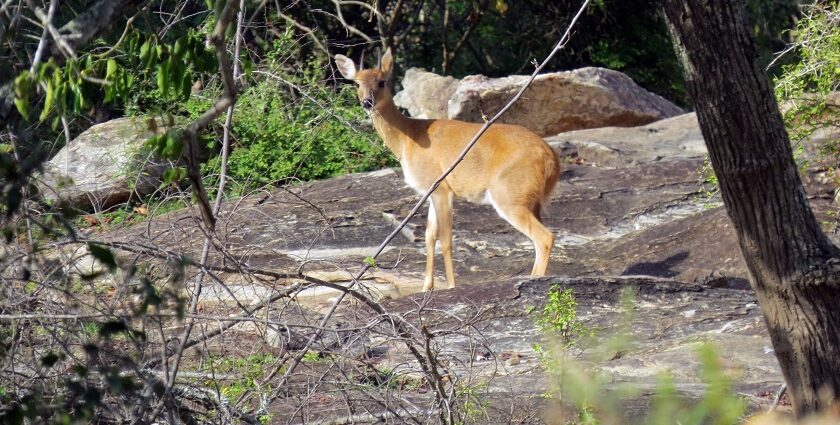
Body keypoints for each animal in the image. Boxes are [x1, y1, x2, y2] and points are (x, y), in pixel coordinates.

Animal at [334, 48, 556, 290]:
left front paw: (451, 286)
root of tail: (552, 159)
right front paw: (426, 287)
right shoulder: (429, 192)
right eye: (357, 83)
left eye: (382, 82)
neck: (408, 138)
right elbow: (430, 236)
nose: (367, 102)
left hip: (510, 194)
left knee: (545, 237)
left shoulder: (440, 186)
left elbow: (446, 240)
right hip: (529, 199)